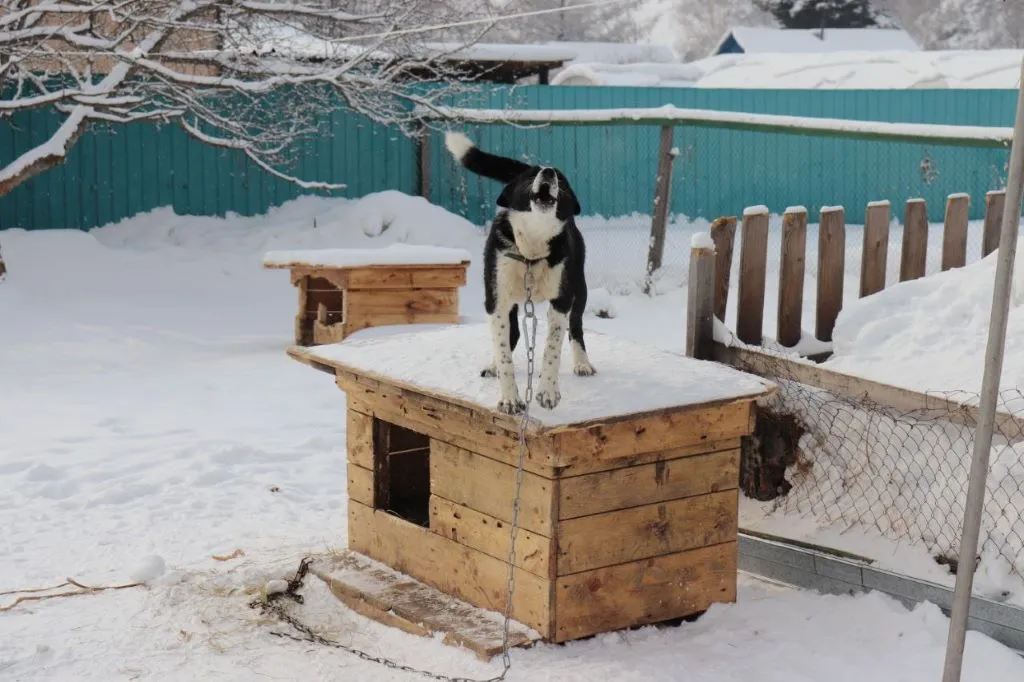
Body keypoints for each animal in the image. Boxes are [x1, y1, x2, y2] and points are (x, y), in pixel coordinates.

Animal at [444, 130, 598, 411]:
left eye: (561, 178)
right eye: (530, 176)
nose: (548, 172)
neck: (531, 249)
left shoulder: (561, 301)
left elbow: (551, 350)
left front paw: (548, 392)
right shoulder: (495, 301)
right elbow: (504, 351)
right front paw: (510, 398)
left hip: (579, 288)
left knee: (576, 326)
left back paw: (582, 362)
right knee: (510, 334)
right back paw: (494, 364)